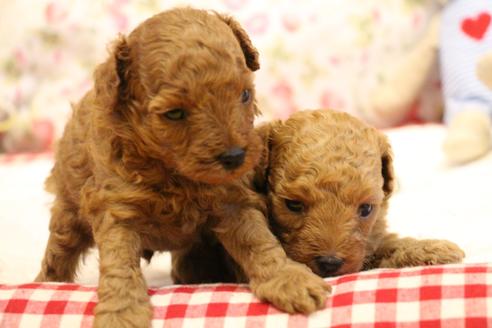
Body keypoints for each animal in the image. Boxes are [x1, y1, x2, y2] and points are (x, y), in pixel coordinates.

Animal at [36, 8, 328, 328]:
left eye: (244, 95)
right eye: (174, 113)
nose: (235, 156)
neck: (174, 173)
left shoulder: (232, 199)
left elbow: (258, 240)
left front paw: (287, 278)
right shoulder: (116, 208)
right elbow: (119, 263)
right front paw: (121, 312)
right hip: (67, 210)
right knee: (59, 252)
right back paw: (45, 284)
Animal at [173, 111, 466, 284]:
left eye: (366, 209)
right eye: (293, 205)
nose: (329, 263)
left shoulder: (367, 240)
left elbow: (383, 245)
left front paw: (432, 248)